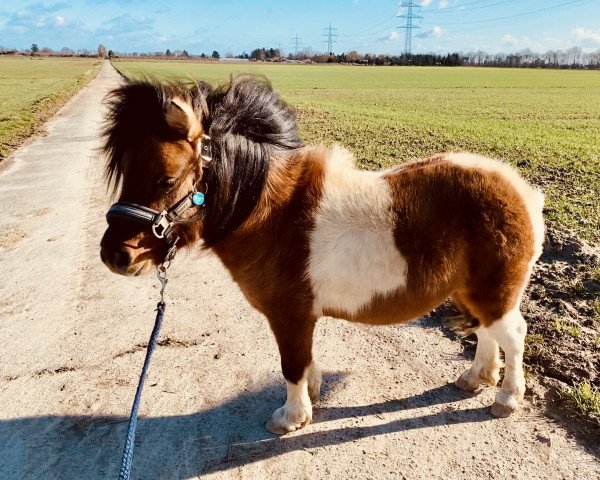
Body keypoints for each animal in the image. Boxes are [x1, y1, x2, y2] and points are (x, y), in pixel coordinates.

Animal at [102, 76, 544, 436]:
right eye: (125, 171)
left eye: (166, 179)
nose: (114, 256)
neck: (269, 213)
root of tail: (521, 190)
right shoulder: (301, 318)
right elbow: (304, 361)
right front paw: (311, 394)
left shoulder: (289, 316)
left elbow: (292, 364)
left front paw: (292, 417)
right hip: (473, 292)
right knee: (487, 332)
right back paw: (476, 378)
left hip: (495, 293)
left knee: (512, 335)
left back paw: (506, 398)